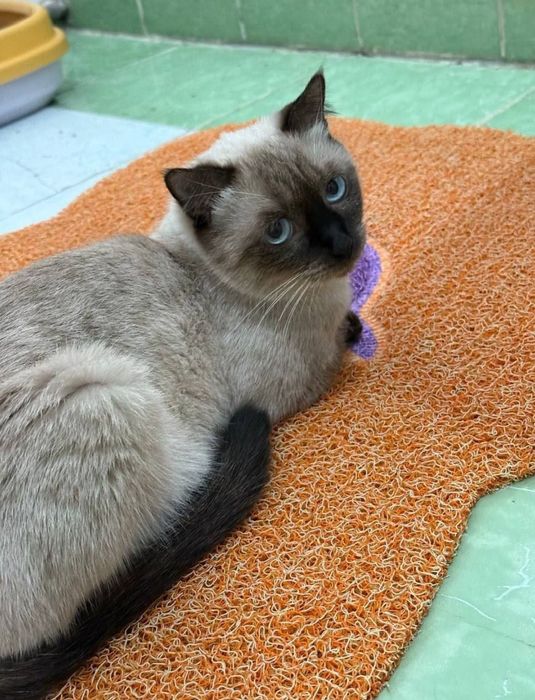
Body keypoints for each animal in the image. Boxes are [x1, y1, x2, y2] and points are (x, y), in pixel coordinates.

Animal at [0, 72, 365, 698]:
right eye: (279, 232)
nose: (344, 246)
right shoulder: (296, 382)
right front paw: (355, 326)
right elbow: (345, 341)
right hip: (104, 394)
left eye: (335, 189)